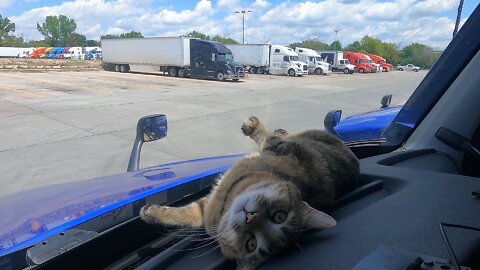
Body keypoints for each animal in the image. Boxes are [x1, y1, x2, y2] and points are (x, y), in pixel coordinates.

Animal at [140, 116, 360, 270]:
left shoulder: (278, 147)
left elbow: (266, 136)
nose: (251, 216)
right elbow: (188, 213)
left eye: (251, 244)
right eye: (280, 216)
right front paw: (154, 213)